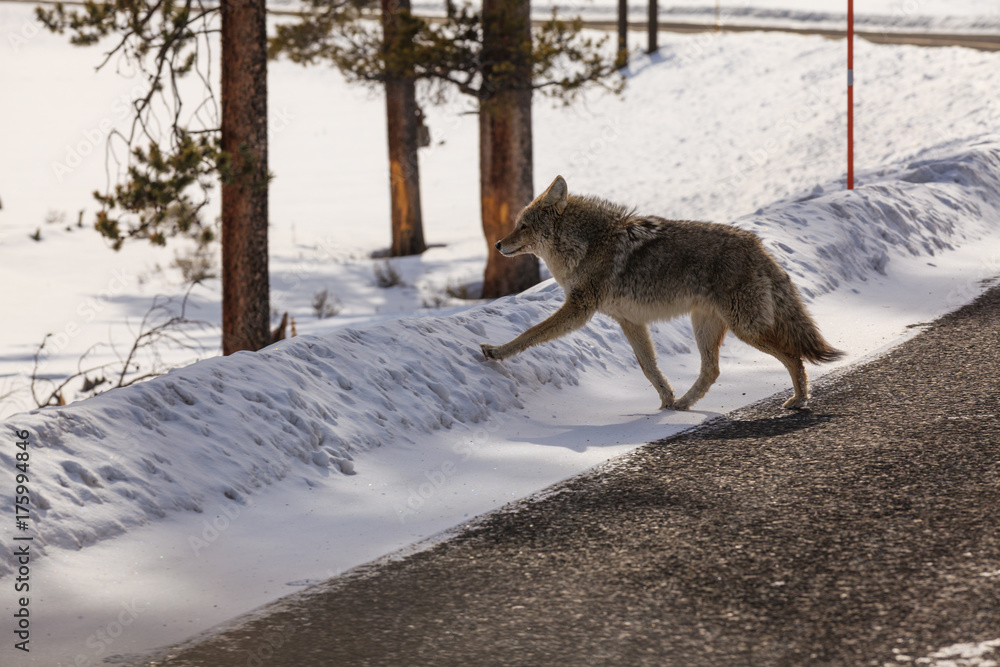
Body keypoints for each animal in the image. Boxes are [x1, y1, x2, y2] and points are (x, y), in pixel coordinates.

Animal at [480, 176, 844, 410]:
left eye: (523, 226)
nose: (497, 244)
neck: (587, 243)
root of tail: (758, 245)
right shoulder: (628, 321)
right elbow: (648, 367)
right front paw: (666, 398)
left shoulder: (579, 310)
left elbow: (530, 333)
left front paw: (496, 351)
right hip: (708, 326)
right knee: (712, 370)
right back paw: (683, 403)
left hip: (745, 329)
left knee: (793, 356)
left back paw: (799, 400)